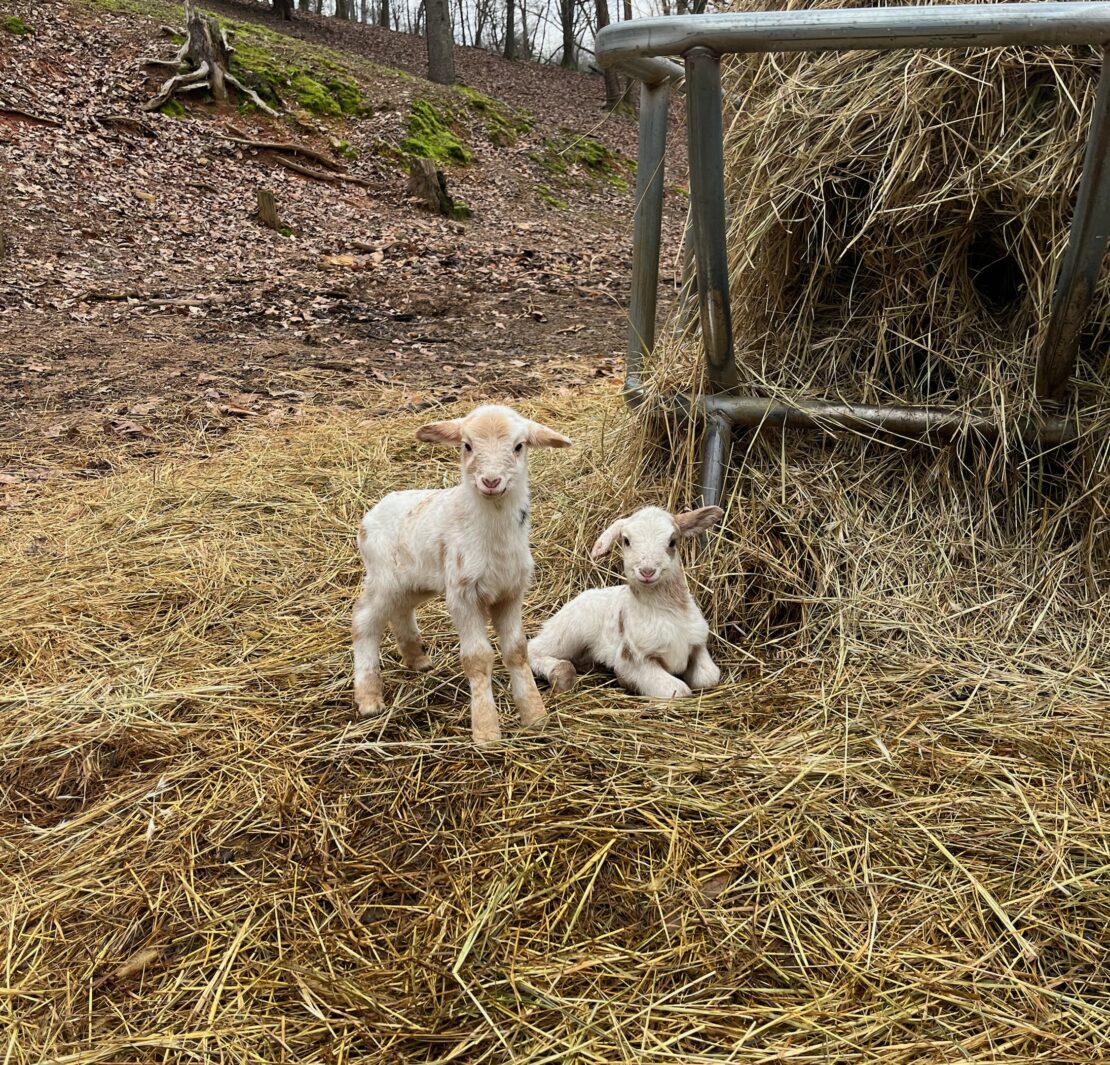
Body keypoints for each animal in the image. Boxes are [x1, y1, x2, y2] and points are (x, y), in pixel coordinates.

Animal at [352, 404, 571, 744]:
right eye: (467, 445)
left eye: (519, 446)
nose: (491, 481)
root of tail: (373, 511)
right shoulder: (463, 595)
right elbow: (477, 658)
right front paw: (486, 731)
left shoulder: (511, 592)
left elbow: (517, 651)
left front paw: (535, 716)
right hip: (383, 576)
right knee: (364, 621)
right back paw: (369, 698)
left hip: (415, 580)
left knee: (401, 610)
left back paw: (417, 660)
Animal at [528, 505, 724, 699]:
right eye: (626, 541)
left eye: (672, 541)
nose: (647, 571)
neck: (667, 612)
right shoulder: (635, 658)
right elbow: (679, 691)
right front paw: (627, 680)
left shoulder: (698, 642)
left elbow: (709, 677)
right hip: (568, 632)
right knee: (534, 649)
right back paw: (559, 672)